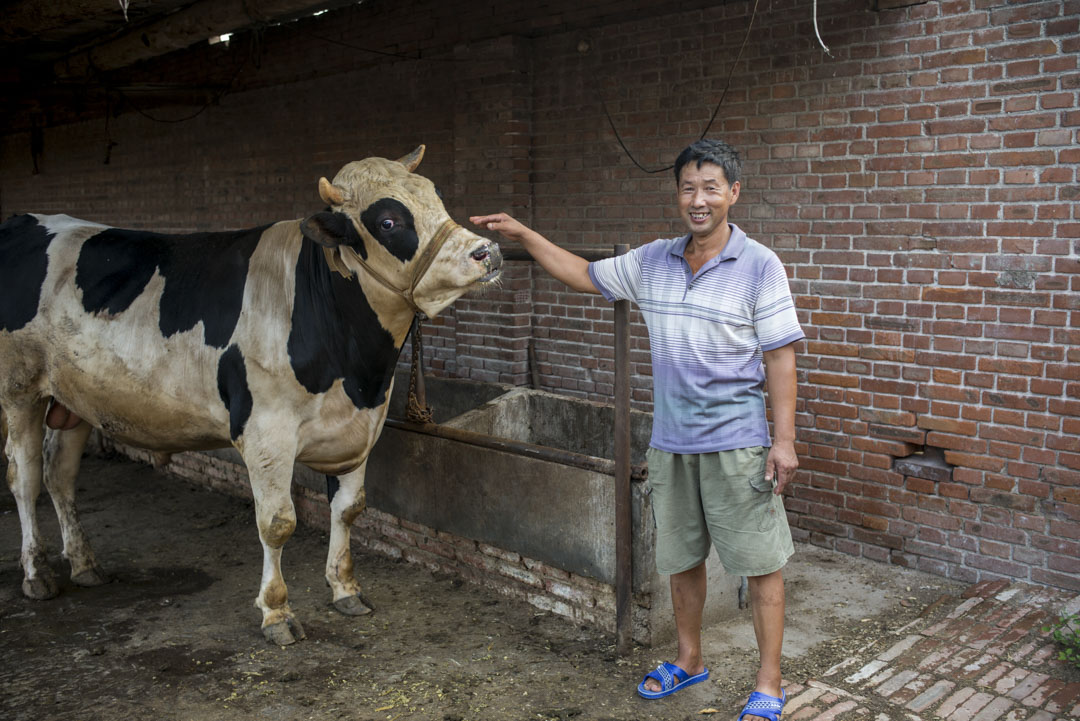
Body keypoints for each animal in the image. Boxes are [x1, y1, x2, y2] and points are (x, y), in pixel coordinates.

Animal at [0, 144, 501, 643]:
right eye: (389, 222)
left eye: (436, 195)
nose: (487, 250)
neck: (357, 368)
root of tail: (26, 218)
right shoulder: (266, 433)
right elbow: (277, 524)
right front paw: (276, 612)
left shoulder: (360, 429)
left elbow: (348, 510)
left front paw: (345, 590)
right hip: (19, 389)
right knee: (25, 479)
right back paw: (37, 574)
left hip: (73, 398)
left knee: (59, 474)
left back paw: (85, 564)